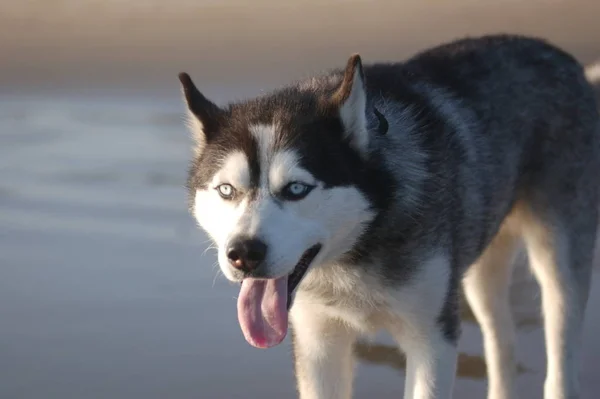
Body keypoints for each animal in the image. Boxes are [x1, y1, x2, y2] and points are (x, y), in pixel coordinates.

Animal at [178, 35, 600, 399]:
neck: (357, 250)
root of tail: (565, 60)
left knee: (561, 355)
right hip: (479, 277)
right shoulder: (318, 343)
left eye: (296, 189)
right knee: (503, 343)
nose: (243, 254)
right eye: (226, 190)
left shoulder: (432, 341)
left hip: (558, 266)